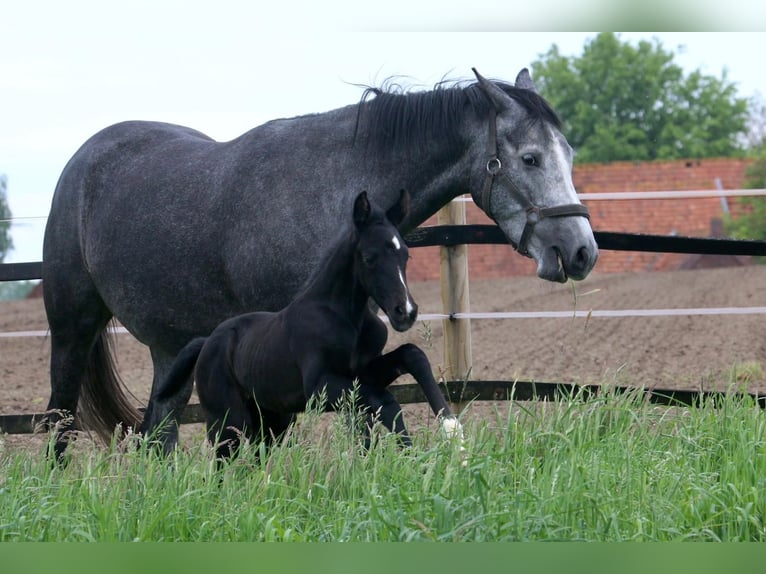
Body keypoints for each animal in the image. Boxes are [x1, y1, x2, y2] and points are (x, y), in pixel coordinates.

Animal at [42, 68, 600, 460]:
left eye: (570, 154)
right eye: (530, 158)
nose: (581, 251)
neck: (334, 190)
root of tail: (82, 161)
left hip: (171, 349)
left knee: (158, 435)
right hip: (72, 332)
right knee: (57, 423)